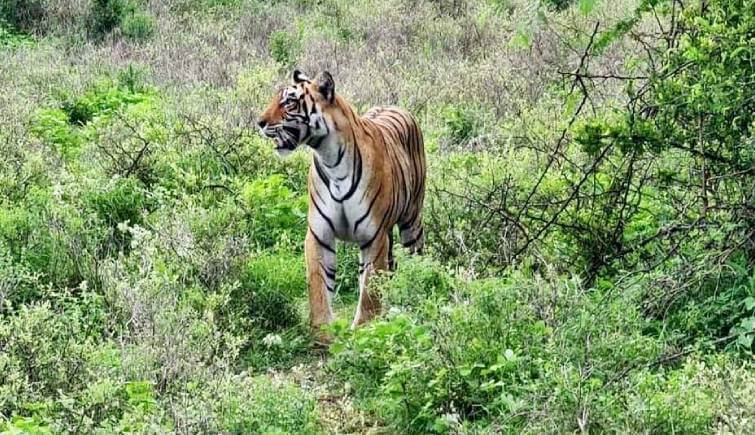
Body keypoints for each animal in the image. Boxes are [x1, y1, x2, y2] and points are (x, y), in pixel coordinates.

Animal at [258, 69, 426, 338]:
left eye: (289, 102)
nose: (259, 122)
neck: (330, 159)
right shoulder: (319, 234)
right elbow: (318, 283)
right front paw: (322, 331)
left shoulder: (374, 236)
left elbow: (369, 290)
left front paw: (364, 329)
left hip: (411, 221)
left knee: (414, 260)